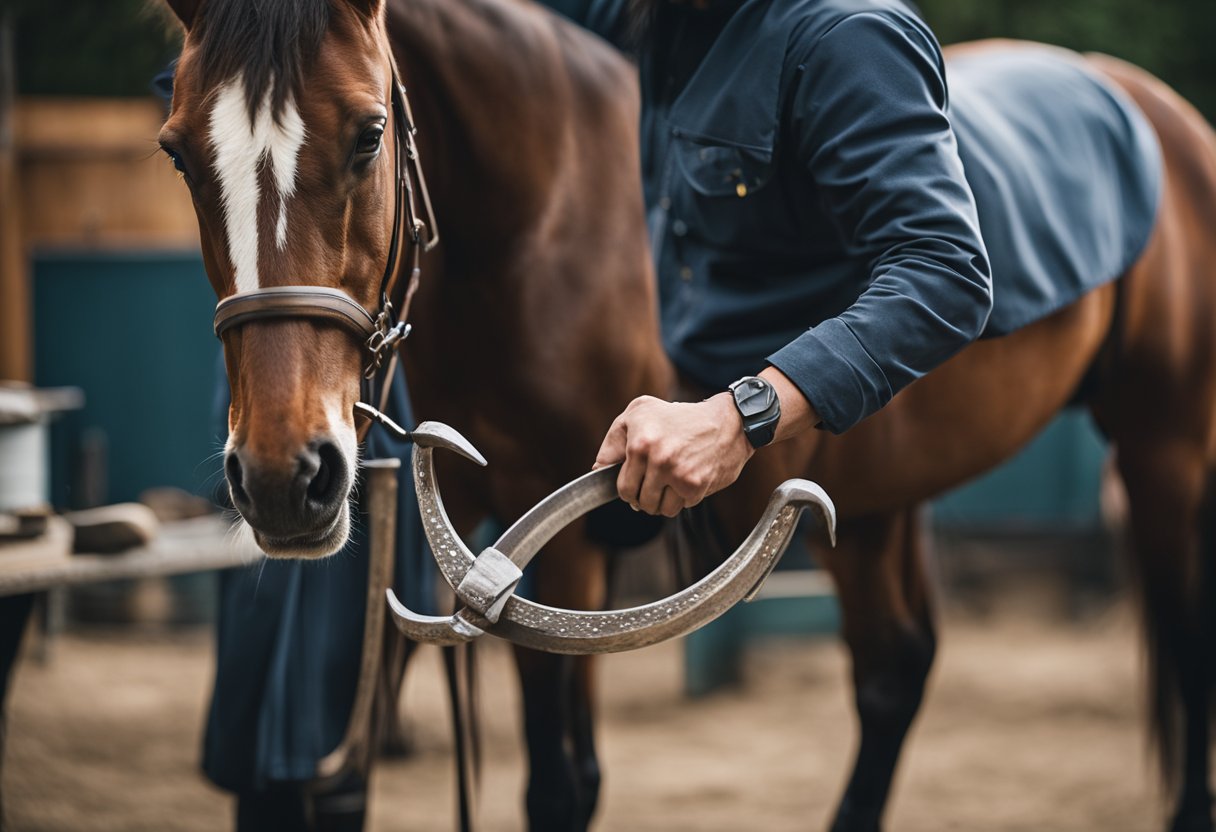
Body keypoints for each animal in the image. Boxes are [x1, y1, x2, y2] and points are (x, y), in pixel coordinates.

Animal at [157, 0, 1216, 830]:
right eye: (177, 153)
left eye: (370, 134)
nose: (285, 479)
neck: (548, 217)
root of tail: (1160, 107)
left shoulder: (568, 547)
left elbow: (562, 785)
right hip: (882, 499)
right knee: (895, 671)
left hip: (1164, 453)